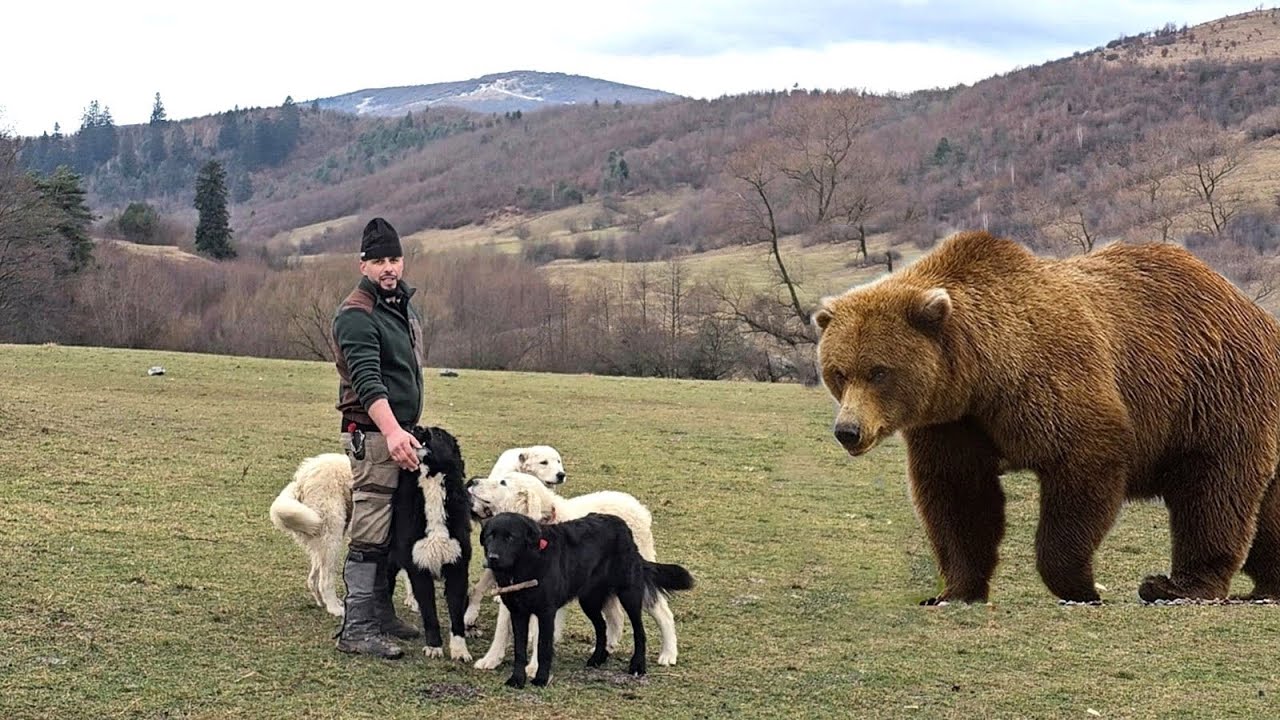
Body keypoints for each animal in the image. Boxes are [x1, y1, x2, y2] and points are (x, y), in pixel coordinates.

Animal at [813, 230, 1280, 604]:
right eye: (838, 372)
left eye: (879, 371)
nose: (848, 431)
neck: (983, 373)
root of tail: (1256, 313)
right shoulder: (952, 423)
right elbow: (957, 496)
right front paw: (954, 590)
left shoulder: (1051, 382)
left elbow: (1084, 463)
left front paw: (1081, 586)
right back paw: (1265, 586)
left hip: (1213, 395)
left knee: (1213, 491)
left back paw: (1175, 586)